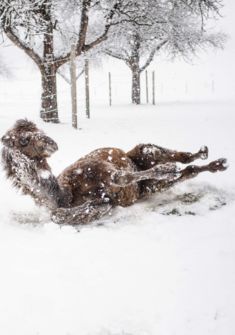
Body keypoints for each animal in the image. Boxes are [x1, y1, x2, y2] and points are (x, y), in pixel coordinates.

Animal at [0, 119, 227, 224]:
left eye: (38, 130)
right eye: (24, 139)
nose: (51, 143)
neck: (65, 195)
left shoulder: (98, 168)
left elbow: (121, 176)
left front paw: (165, 169)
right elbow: (60, 215)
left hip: (144, 151)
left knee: (178, 157)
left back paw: (200, 155)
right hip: (150, 188)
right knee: (189, 170)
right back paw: (214, 164)